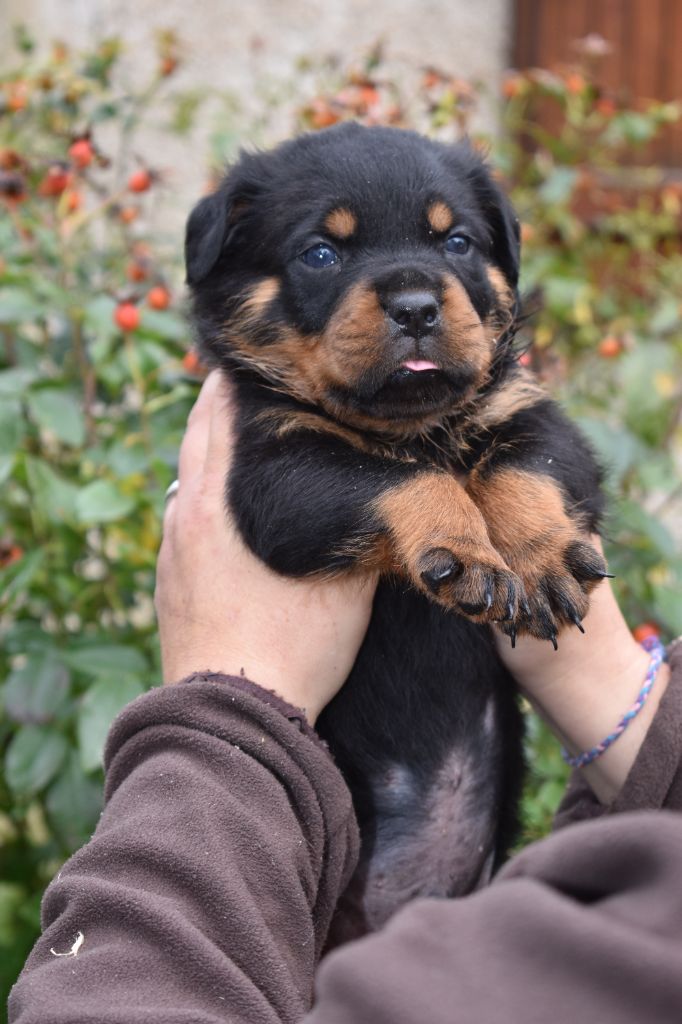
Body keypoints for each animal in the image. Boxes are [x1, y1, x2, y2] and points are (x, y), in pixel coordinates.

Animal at [183, 123, 602, 946]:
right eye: (321, 253)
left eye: (458, 242)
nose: (415, 306)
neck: (411, 426)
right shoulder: (277, 474)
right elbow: (400, 479)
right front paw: (465, 553)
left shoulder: (535, 415)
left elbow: (521, 469)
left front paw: (537, 561)